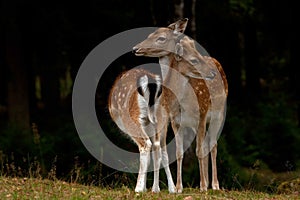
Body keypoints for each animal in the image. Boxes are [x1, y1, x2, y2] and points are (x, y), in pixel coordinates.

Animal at [132, 18, 229, 192]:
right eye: (150, 34)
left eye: (161, 38)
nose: (136, 48)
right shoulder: (176, 122)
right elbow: (179, 152)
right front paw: (178, 188)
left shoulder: (202, 116)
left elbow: (199, 150)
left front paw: (202, 187)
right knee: (206, 145)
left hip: (219, 115)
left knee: (213, 145)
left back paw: (214, 185)